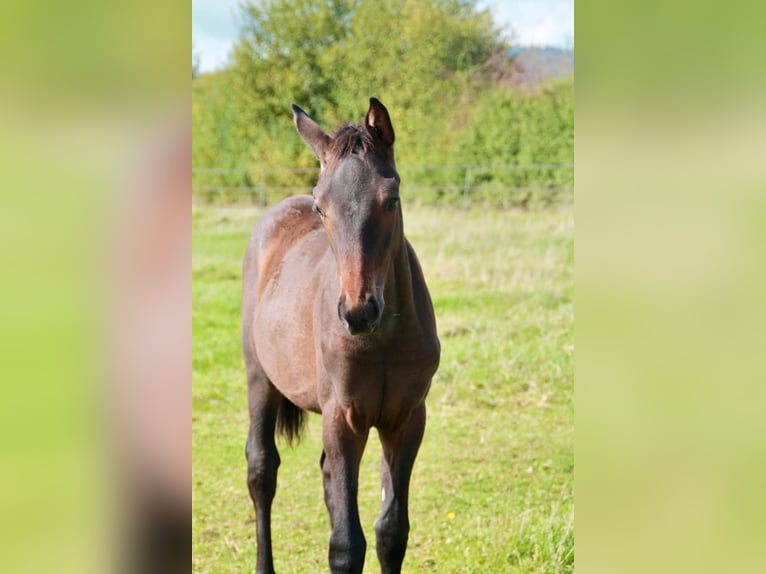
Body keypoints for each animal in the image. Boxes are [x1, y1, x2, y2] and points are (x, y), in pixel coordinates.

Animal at [243, 100, 440, 574]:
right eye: (321, 207)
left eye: (391, 199)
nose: (357, 311)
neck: (382, 340)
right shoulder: (343, 418)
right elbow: (347, 544)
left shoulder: (407, 419)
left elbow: (391, 532)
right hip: (259, 377)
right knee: (261, 470)